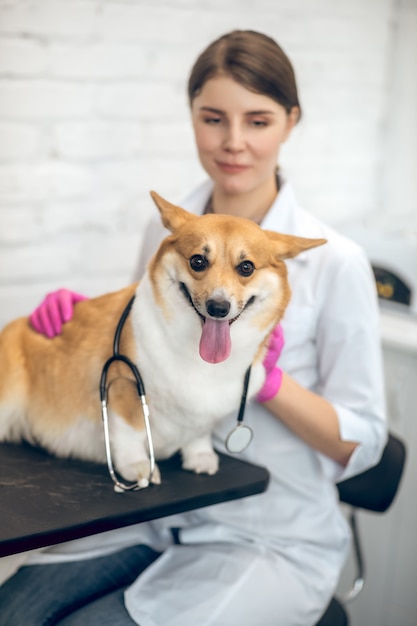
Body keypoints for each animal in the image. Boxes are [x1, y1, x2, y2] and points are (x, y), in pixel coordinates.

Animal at [0, 193, 324, 486]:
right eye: (197, 261)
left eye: (246, 267)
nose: (218, 308)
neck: (200, 358)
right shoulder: (122, 385)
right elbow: (130, 431)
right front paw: (137, 466)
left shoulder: (204, 413)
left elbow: (199, 431)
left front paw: (200, 456)